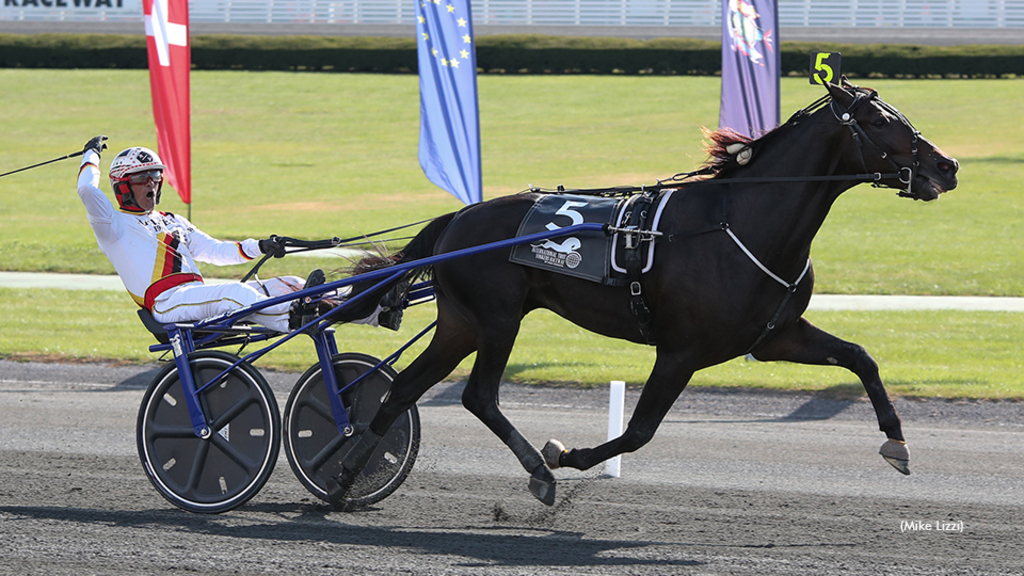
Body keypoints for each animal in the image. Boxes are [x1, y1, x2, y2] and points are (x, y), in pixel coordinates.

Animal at [327, 78, 958, 504]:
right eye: (880, 122)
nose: (947, 165)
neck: (739, 221)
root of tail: (457, 218)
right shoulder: (681, 350)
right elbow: (638, 430)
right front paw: (570, 455)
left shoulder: (773, 336)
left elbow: (860, 357)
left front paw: (898, 444)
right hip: (497, 319)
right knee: (477, 395)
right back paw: (538, 471)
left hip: (462, 322)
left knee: (404, 388)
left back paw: (344, 476)